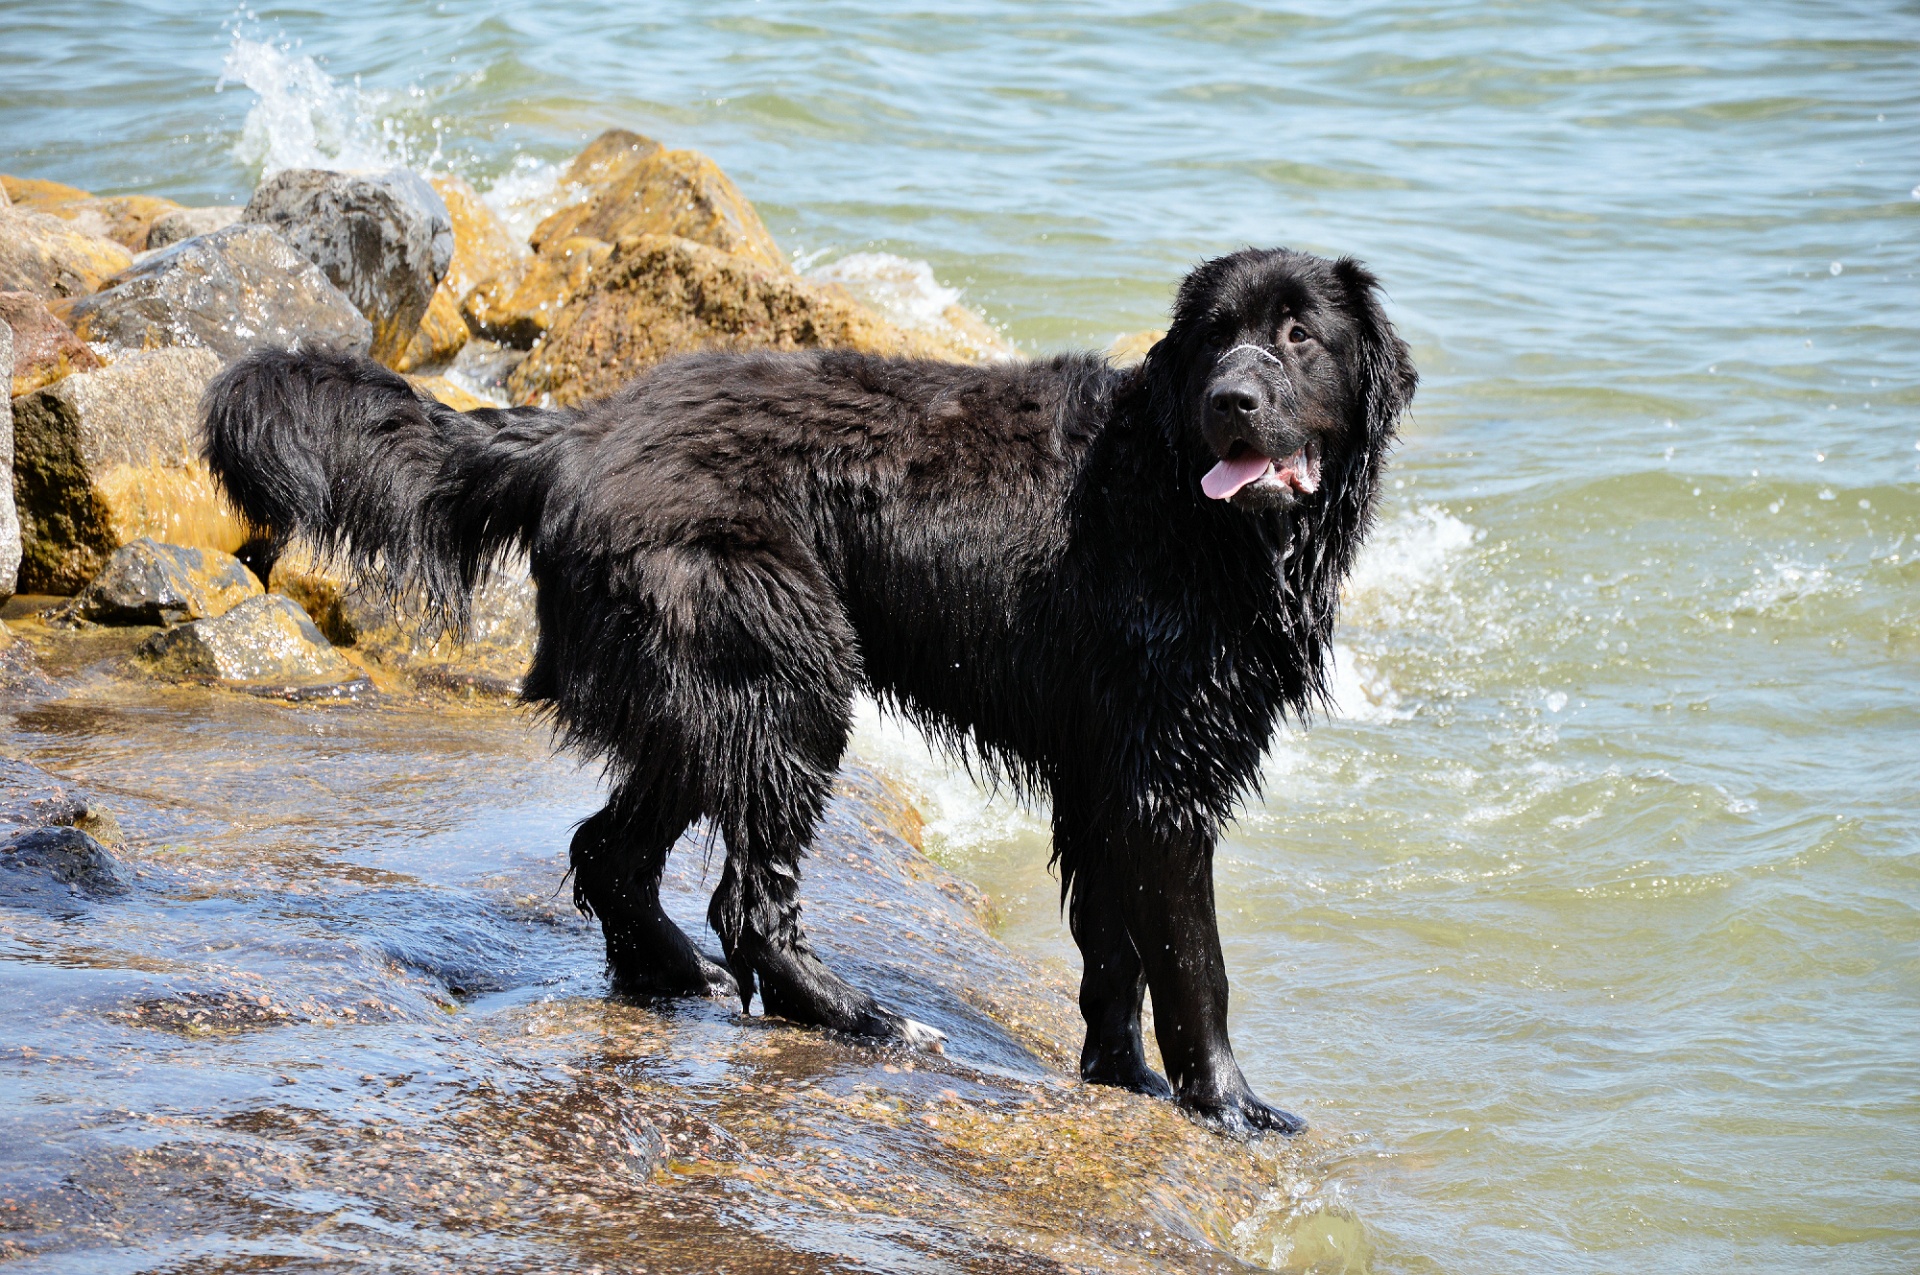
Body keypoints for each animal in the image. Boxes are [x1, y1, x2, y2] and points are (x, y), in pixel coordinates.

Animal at [206, 249, 1413, 1136]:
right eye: (1214, 337)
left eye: (1300, 335)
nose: (1233, 400)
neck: (1184, 507)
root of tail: (579, 430)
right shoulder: (1163, 780)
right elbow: (1194, 965)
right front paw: (1232, 1106)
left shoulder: (1104, 776)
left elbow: (1113, 954)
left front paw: (1121, 1080)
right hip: (788, 672)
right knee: (748, 897)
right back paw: (859, 1018)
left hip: (707, 696)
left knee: (612, 850)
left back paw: (668, 978)